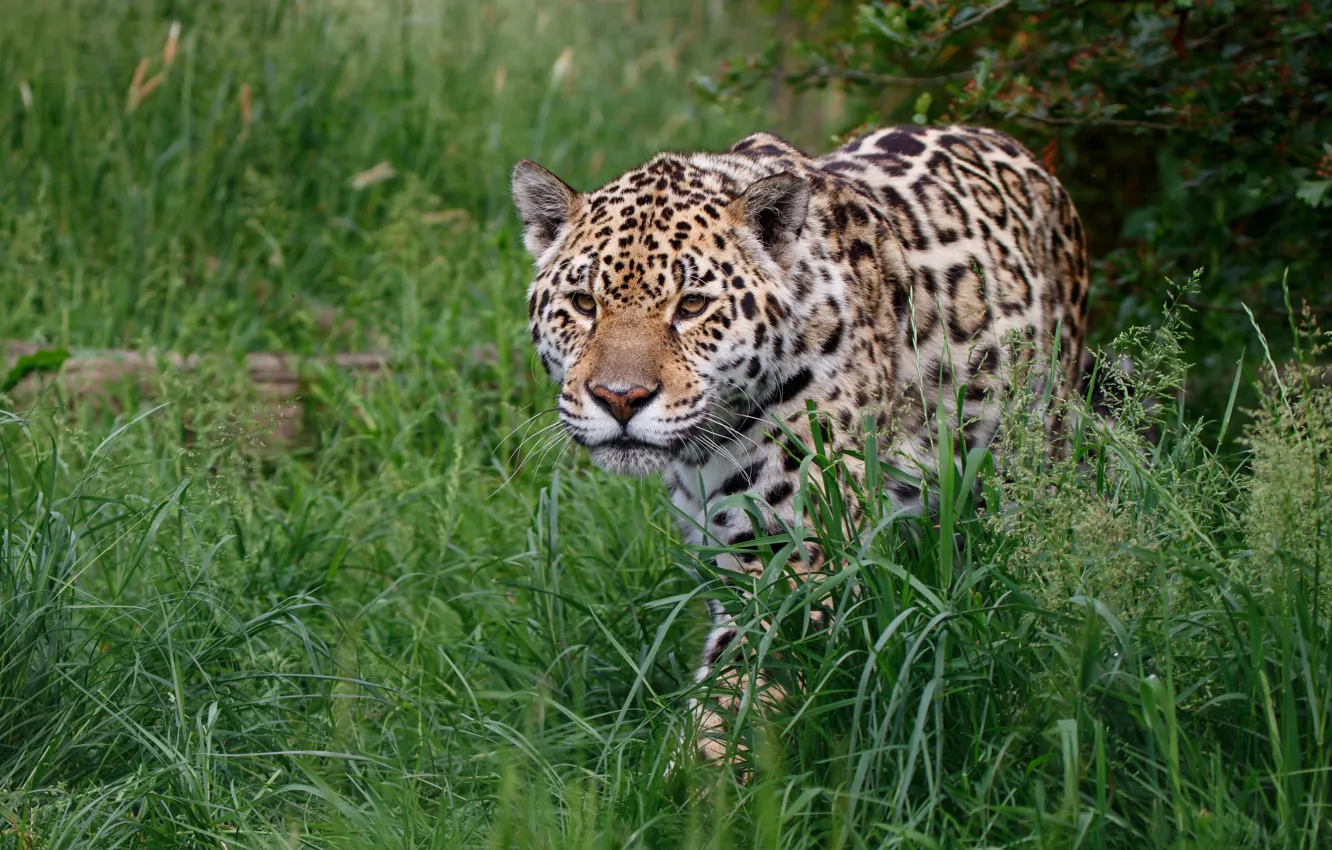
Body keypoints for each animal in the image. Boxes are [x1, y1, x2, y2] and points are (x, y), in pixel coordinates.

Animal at [511, 124, 1090, 769]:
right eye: (585, 304)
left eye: (692, 306)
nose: (620, 399)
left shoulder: (794, 560)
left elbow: (736, 693)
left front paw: (689, 783)